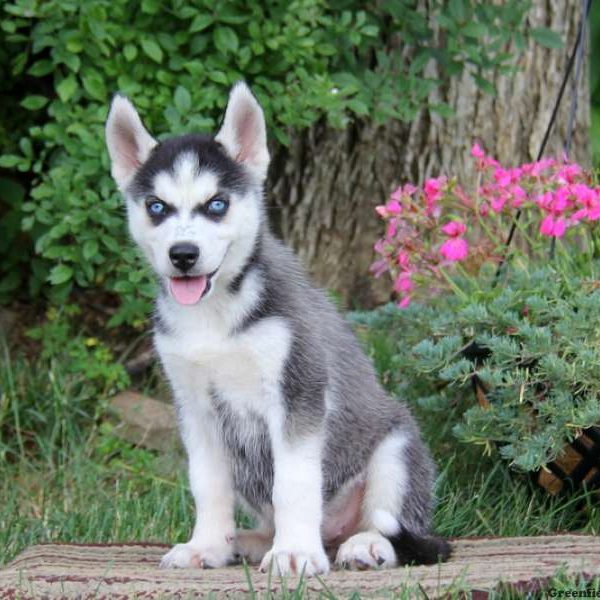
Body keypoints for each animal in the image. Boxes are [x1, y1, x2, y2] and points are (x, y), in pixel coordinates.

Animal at [104, 82, 450, 576]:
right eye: (157, 207)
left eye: (217, 205)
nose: (183, 254)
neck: (215, 317)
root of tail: (334, 533)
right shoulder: (195, 408)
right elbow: (207, 485)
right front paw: (206, 545)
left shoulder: (298, 394)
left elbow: (295, 485)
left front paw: (295, 553)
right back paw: (248, 542)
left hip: (396, 447)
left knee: (391, 522)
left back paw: (364, 544)